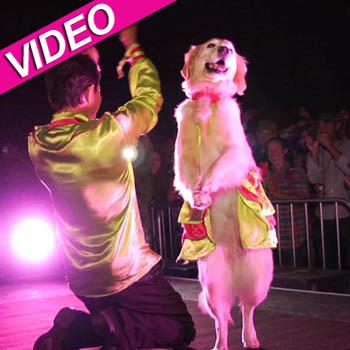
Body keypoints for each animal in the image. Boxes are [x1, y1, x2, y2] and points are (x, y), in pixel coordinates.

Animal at [174, 37, 278, 348]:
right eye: (211, 45)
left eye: (229, 47)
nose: (225, 50)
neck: (209, 97)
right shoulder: (183, 155)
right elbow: (187, 174)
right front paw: (197, 198)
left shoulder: (235, 153)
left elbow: (217, 169)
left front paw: (205, 191)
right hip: (213, 284)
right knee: (221, 320)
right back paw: (220, 344)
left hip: (257, 277)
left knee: (247, 309)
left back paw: (250, 337)